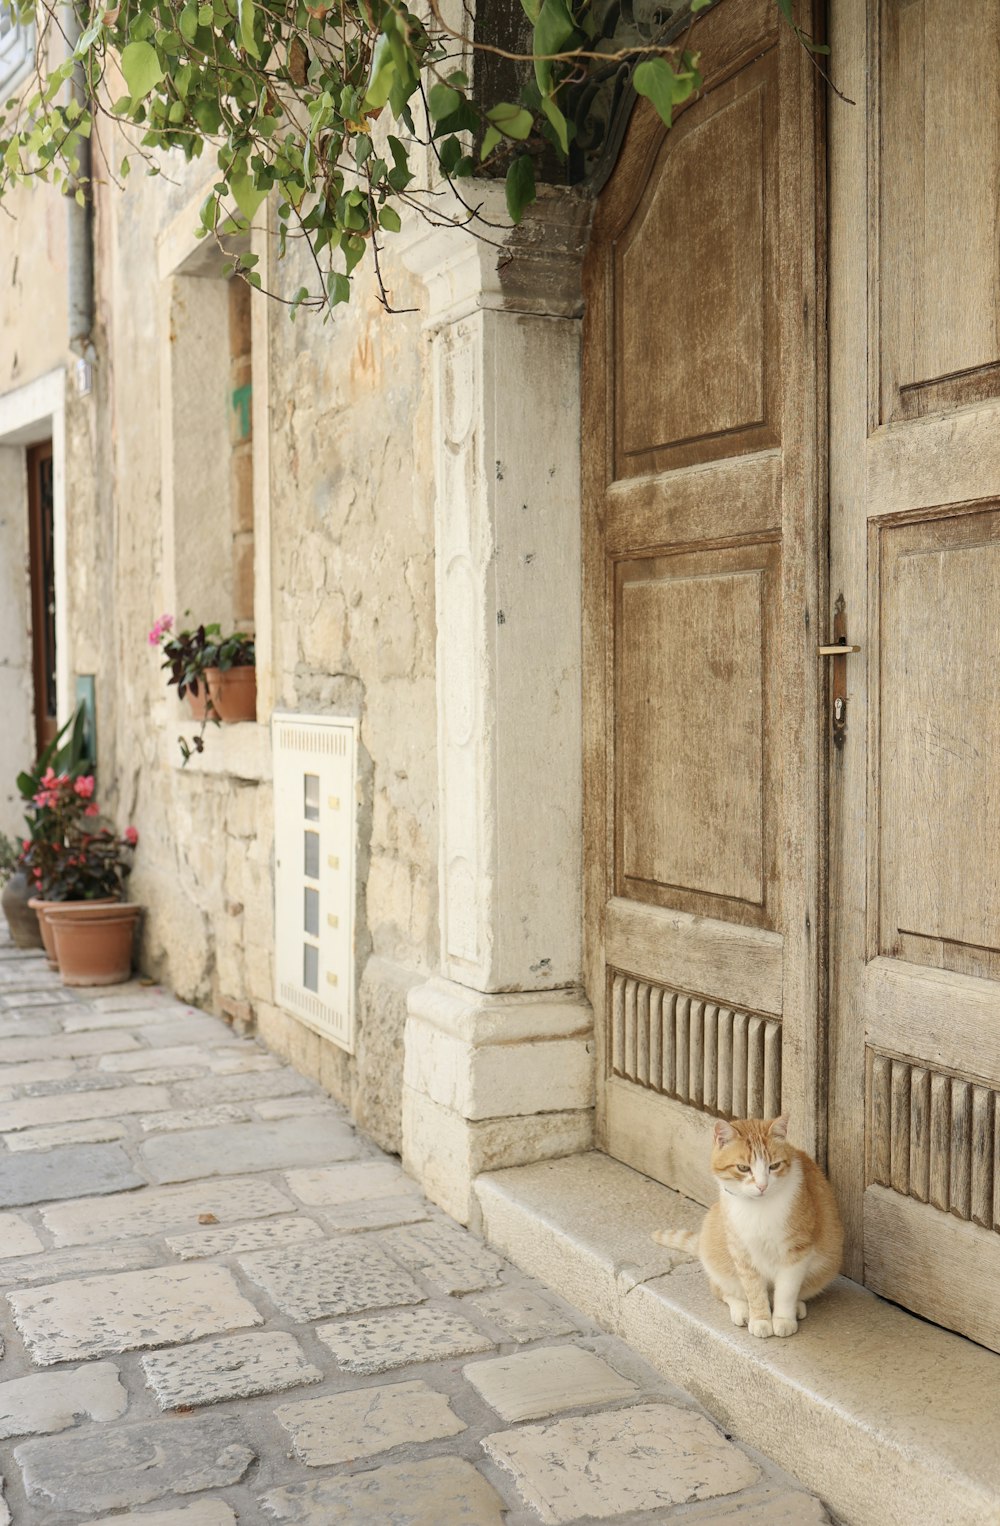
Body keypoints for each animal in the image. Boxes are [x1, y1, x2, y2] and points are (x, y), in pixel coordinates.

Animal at [653, 1117, 842, 1342]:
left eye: (774, 1166)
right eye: (743, 1168)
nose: (762, 1186)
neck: (758, 1208)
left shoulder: (796, 1251)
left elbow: (786, 1291)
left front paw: (783, 1319)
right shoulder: (741, 1252)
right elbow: (753, 1290)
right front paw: (760, 1319)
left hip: (824, 1267)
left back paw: (795, 1307)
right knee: (721, 1290)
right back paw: (742, 1310)